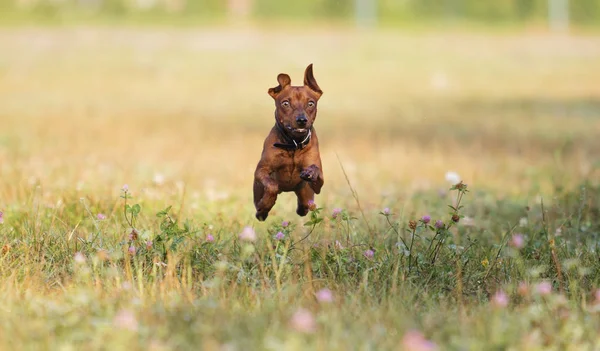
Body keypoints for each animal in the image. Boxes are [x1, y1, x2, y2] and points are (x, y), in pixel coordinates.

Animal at [255, 63, 326, 221]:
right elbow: (272, 185)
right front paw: (266, 204)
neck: (293, 144)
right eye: (286, 103)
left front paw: (310, 172)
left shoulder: (319, 184)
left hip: (307, 196)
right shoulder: (261, 171)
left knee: (305, 206)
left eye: (310, 103)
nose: (301, 120)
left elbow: (316, 171)